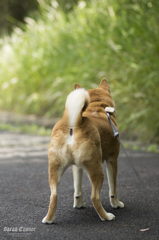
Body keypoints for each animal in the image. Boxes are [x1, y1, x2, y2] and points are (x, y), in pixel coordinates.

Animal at [42, 79, 124, 223]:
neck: (97, 109)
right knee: (94, 197)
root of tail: (74, 124)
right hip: (97, 170)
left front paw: (79, 204)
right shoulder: (112, 160)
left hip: (55, 171)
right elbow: (113, 189)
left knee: (53, 196)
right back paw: (106, 216)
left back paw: (48, 219)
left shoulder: (77, 166)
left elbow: (77, 190)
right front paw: (116, 204)